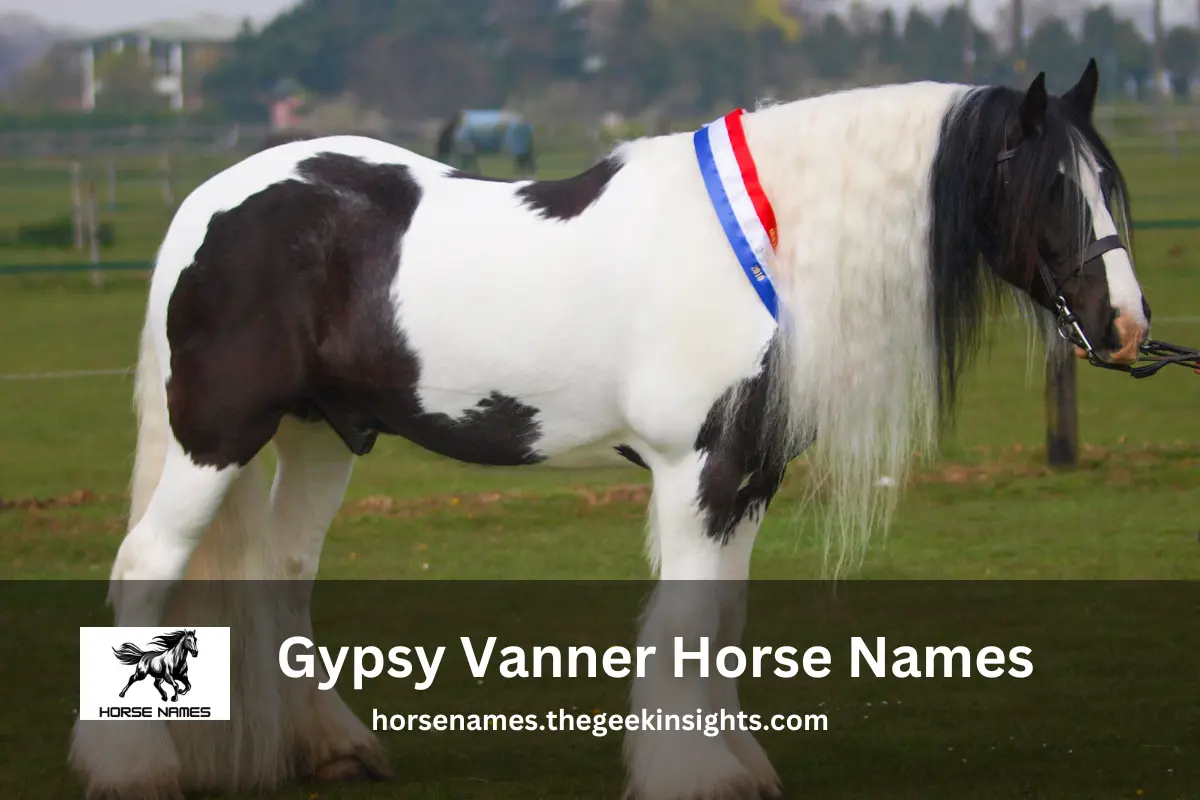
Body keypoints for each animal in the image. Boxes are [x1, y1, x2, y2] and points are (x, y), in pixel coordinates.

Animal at [71, 61, 1149, 799]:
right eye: (1053, 187)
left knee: (284, 574)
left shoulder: (746, 477)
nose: (1127, 327)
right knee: (146, 566)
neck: (761, 249)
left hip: (321, 436)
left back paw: (334, 750)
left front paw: (735, 763)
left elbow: (721, 619)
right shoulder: (697, 472)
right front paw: (695, 775)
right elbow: (688, 620)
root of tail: (210, 202)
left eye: (1112, 183)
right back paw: (131, 767)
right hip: (219, 434)